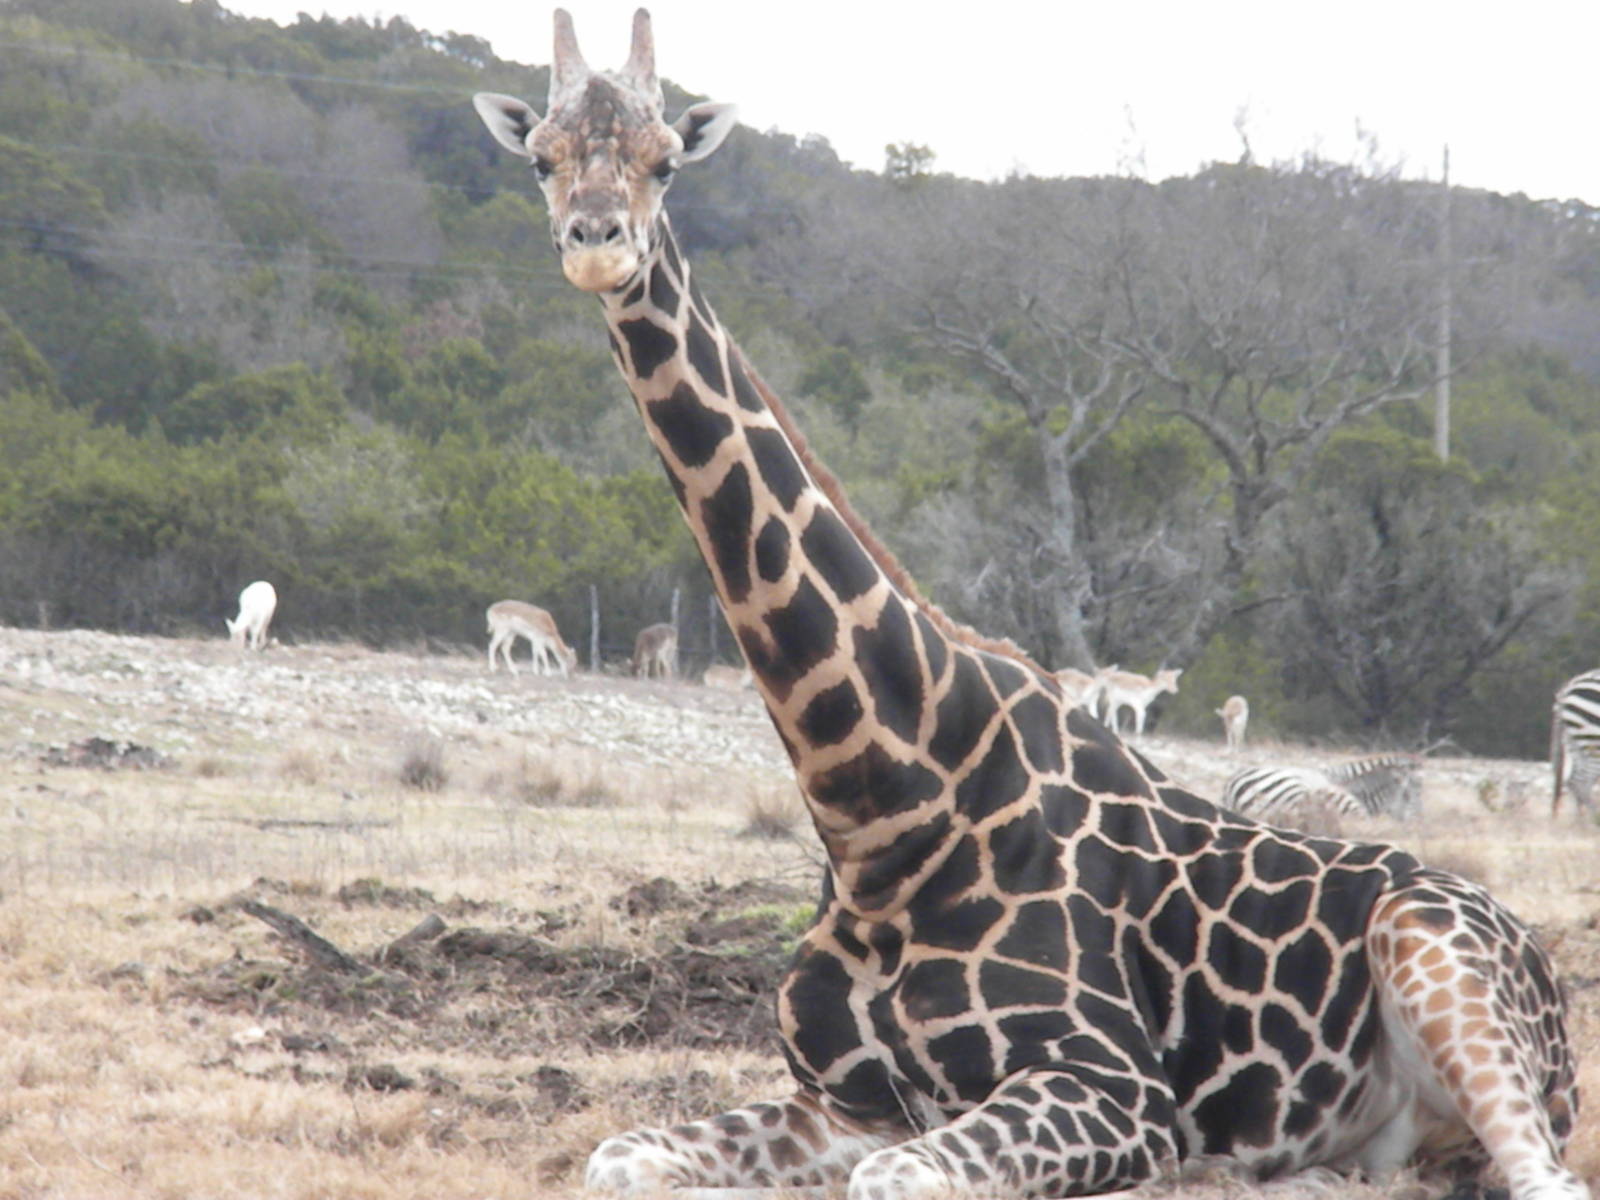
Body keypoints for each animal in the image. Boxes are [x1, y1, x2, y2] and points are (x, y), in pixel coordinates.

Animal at [471, 13, 1587, 1199]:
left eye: (665, 161)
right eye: (540, 156)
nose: (596, 241)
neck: (879, 811)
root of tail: (1546, 980)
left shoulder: (1113, 1088)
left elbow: (898, 1178)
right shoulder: (843, 1101)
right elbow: (616, 1155)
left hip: (1444, 970)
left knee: (1542, 1174)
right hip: (1375, 1147)